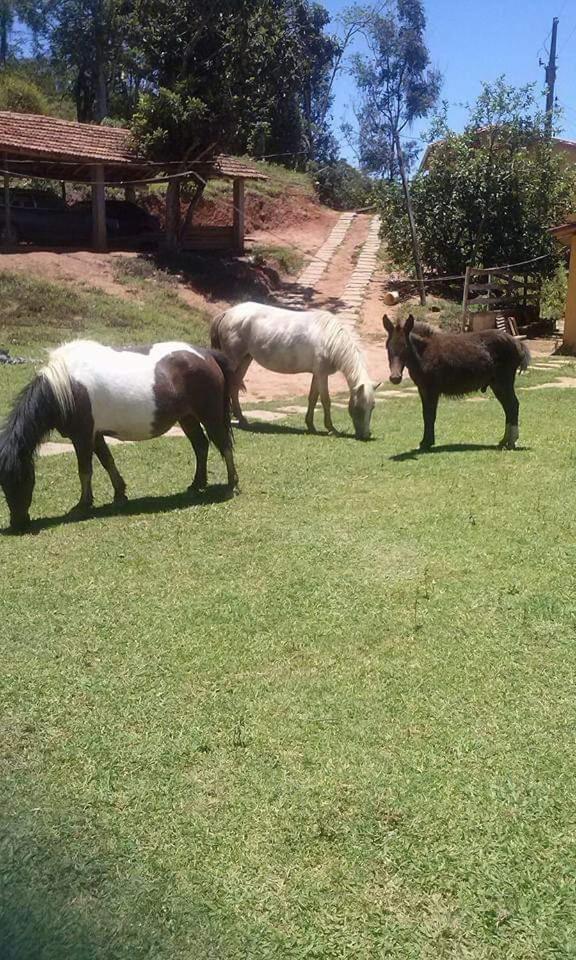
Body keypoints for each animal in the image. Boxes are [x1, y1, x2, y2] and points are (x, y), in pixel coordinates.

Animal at [0, 340, 238, 532]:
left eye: (20, 479)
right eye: (4, 483)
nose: (18, 524)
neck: (66, 386)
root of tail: (206, 354)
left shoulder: (82, 436)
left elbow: (85, 471)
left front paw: (82, 506)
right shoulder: (95, 435)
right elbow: (107, 462)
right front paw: (120, 495)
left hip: (210, 415)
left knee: (224, 445)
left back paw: (231, 485)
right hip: (187, 417)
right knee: (201, 445)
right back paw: (196, 485)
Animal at [212, 302, 378, 440]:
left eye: (372, 407)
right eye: (359, 408)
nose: (366, 435)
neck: (330, 340)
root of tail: (227, 312)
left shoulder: (317, 374)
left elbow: (313, 398)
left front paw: (310, 426)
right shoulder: (322, 375)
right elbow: (326, 401)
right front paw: (331, 429)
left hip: (245, 360)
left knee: (234, 387)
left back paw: (241, 419)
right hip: (234, 361)